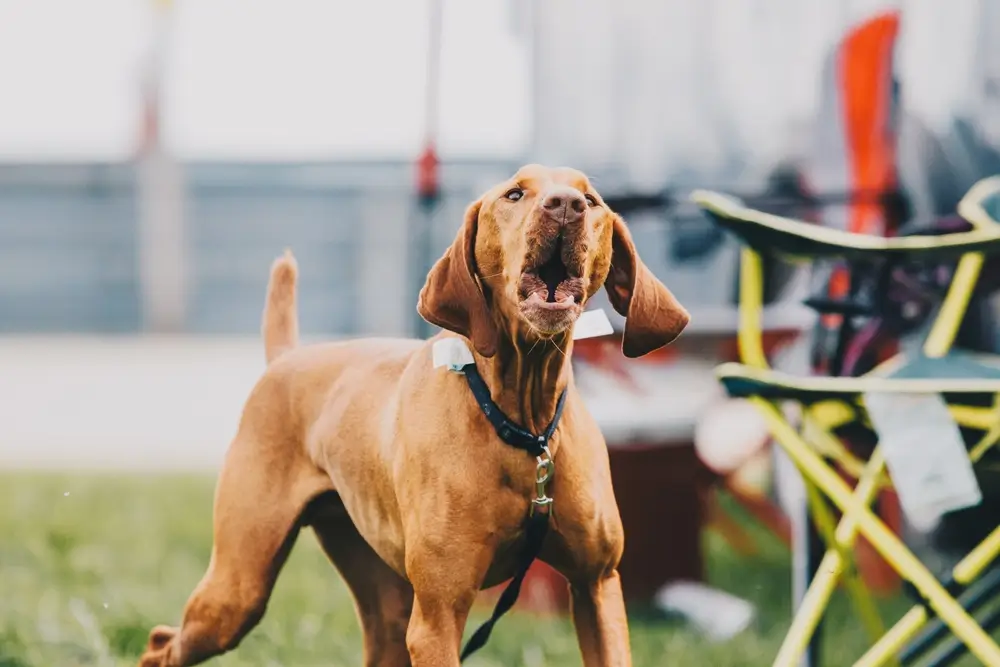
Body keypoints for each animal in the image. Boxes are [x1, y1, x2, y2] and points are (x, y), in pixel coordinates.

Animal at [139, 163, 688, 667]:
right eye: (515, 194)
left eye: (591, 200)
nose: (566, 206)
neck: (522, 425)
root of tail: (286, 358)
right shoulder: (438, 617)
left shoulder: (596, 586)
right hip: (237, 589)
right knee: (161, 644)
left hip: (382, 600)